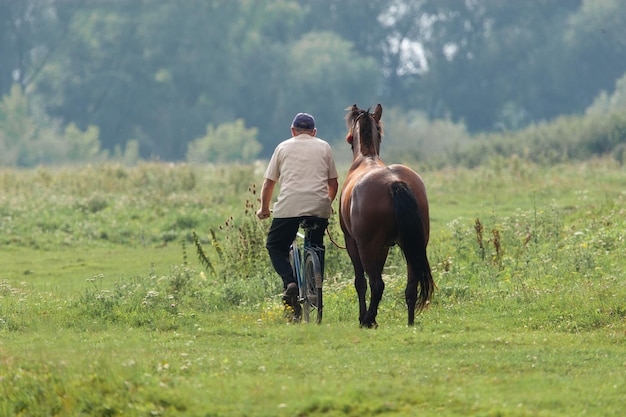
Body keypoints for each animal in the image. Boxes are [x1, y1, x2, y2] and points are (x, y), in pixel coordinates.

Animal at [336, 104, 434, 328]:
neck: (366, 159)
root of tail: (394, 182)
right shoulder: (385, 247)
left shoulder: (352, 243)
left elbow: (361, 283)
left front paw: (365, 317)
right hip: (413, 245)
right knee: (411, 286)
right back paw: (410, 322)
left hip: (367, 247)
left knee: (376, 283)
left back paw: (367, 320)